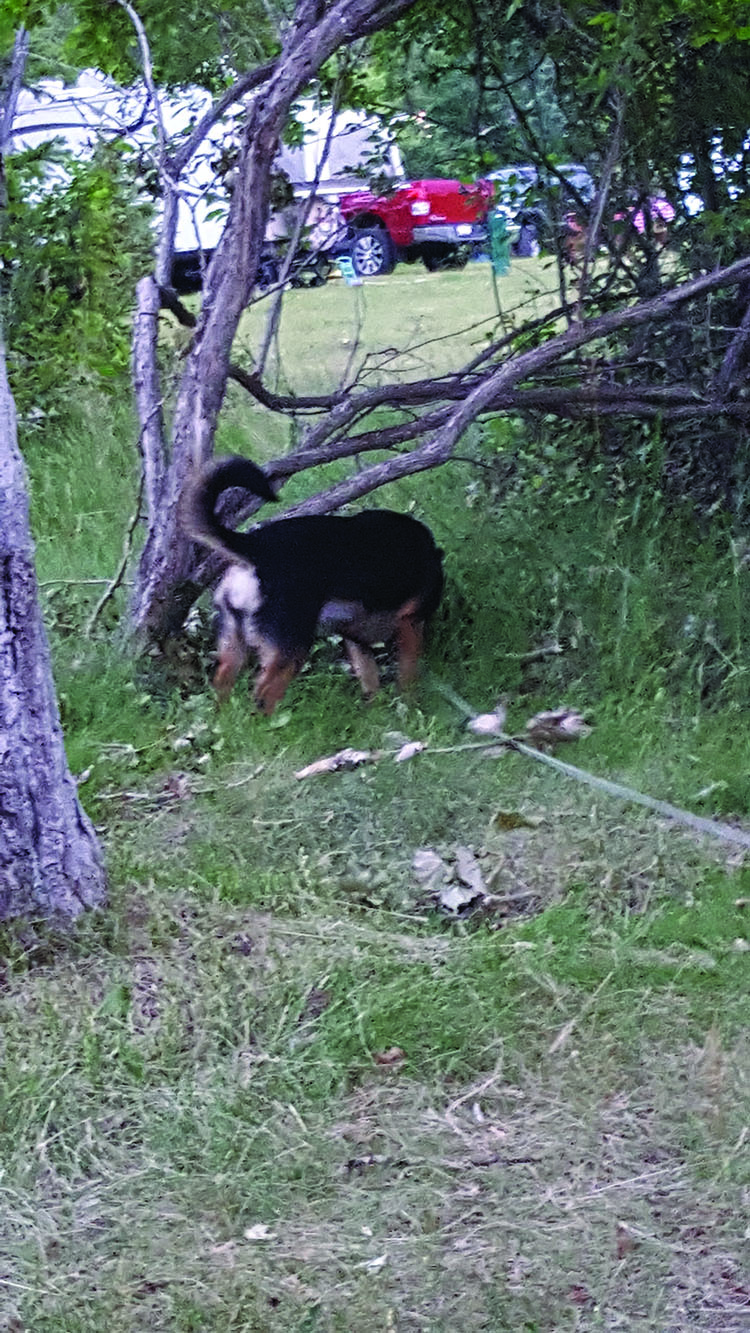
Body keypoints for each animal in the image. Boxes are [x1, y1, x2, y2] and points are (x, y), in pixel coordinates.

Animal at [180, 455, 444, 714]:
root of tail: (255, 548)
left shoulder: (356, 642)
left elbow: (370, 681)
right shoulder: (410, 623)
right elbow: (408, 675)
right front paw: (410, 710)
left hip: (234, 644)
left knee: (222, 687)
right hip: (291, 649)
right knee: (264, 697)